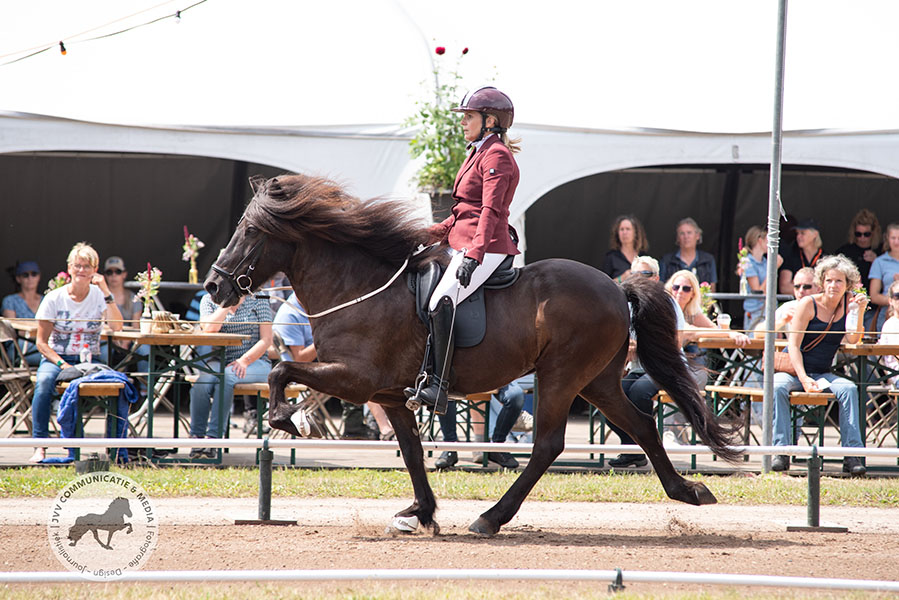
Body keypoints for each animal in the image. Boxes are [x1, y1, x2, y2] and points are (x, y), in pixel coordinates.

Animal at [207, 176, 740, 536]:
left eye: (249, 231)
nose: (213, 286)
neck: (358, 287)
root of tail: (616, 285)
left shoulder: (355, 379)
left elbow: (281, 369)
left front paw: (283, 418)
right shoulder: (390, 395)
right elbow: (412, 452)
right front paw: (420, 513)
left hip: (561, 376)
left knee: (548, 445)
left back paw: (491, 518)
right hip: (597, 381)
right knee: (642, 425)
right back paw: (687, 491)